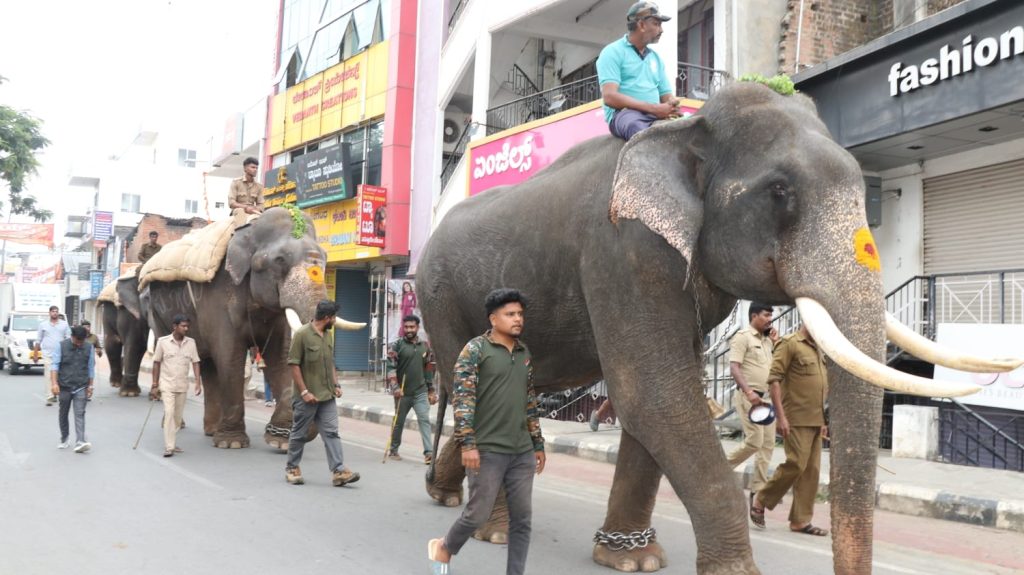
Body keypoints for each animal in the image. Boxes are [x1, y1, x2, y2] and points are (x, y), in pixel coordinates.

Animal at [137, 206, 363, 449]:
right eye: (280, 259)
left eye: (325, 258)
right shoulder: (220, 293)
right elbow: (230, 356)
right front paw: (232, 444)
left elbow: (281, 357)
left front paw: (280, 441)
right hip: (157, 313)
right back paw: (177, 426)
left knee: (206, 364)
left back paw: (212, 430)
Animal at [416, 82, 1018, 574]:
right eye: (779, 190)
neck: (689, 130)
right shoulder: (623, 249)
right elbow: (654, 394)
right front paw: (729, 570)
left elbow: (658, 401)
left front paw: (631, 560)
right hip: (438, 298)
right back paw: (492, 531)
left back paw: (443, 495)